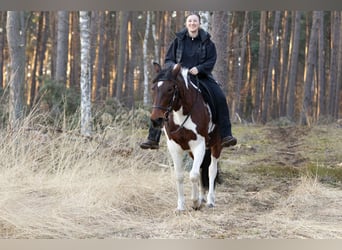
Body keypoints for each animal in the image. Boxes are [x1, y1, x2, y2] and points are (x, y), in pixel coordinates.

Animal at [151, 62, 223, 211]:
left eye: (170, 89)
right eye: (153, 88)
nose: (156, 120)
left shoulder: (199, 145)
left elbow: (194, 175)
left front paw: (195, 202)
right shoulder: (175, 147)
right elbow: (180, 176)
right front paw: (181, 206)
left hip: (216, 145)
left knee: (211, 170)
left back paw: (210, 200)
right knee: (202, 168)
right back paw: (202, 197)